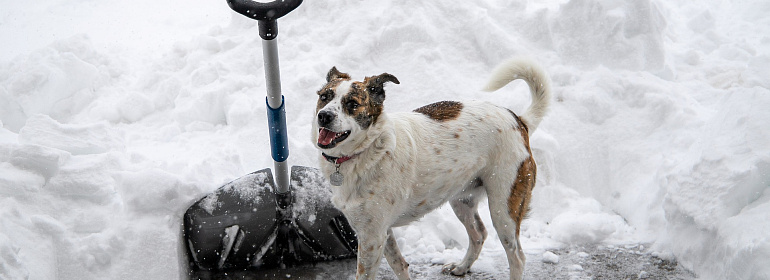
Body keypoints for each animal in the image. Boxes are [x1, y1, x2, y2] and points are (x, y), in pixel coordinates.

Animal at [308, 57, 548, 280]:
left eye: (352, 103)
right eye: (324, 96)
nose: (324, 116)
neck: (365, 151)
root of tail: (518, 120)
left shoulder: (372, 236)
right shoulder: (379, 232)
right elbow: (399, 265)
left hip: (504, 208)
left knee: (517, 257)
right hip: (462, 199)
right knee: (479, 234)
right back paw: (462, 267)